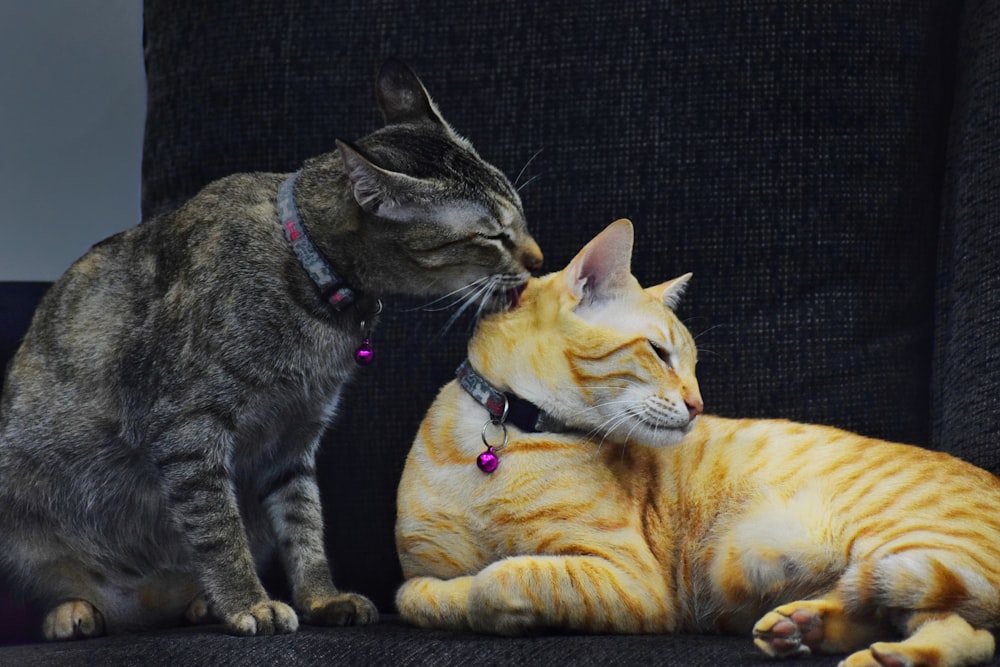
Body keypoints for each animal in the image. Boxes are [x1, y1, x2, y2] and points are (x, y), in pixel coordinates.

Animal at [0, 60, 544, 640]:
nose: (537, 258)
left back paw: (196, 603)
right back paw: (75, 610)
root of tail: (140, 607)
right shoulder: (187, 429)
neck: (312, 280)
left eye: (521, 217)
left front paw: (320, 597)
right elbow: (220, 530)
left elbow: (304, 526)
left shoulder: (295, 437)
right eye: (493, 235)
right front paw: (248, 602)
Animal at [394, 220, 1000, 667]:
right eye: (660, 354)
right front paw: (447, 598)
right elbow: (416, 596)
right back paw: (805, 628)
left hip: (901, 550)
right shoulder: (419, 567)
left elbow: (499, 581)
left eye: (691, 365)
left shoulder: (631, 582)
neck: (500, 441)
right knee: (945, 622)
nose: (698, 404)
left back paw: (876, 655)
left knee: (969, 630)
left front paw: (477, 596)